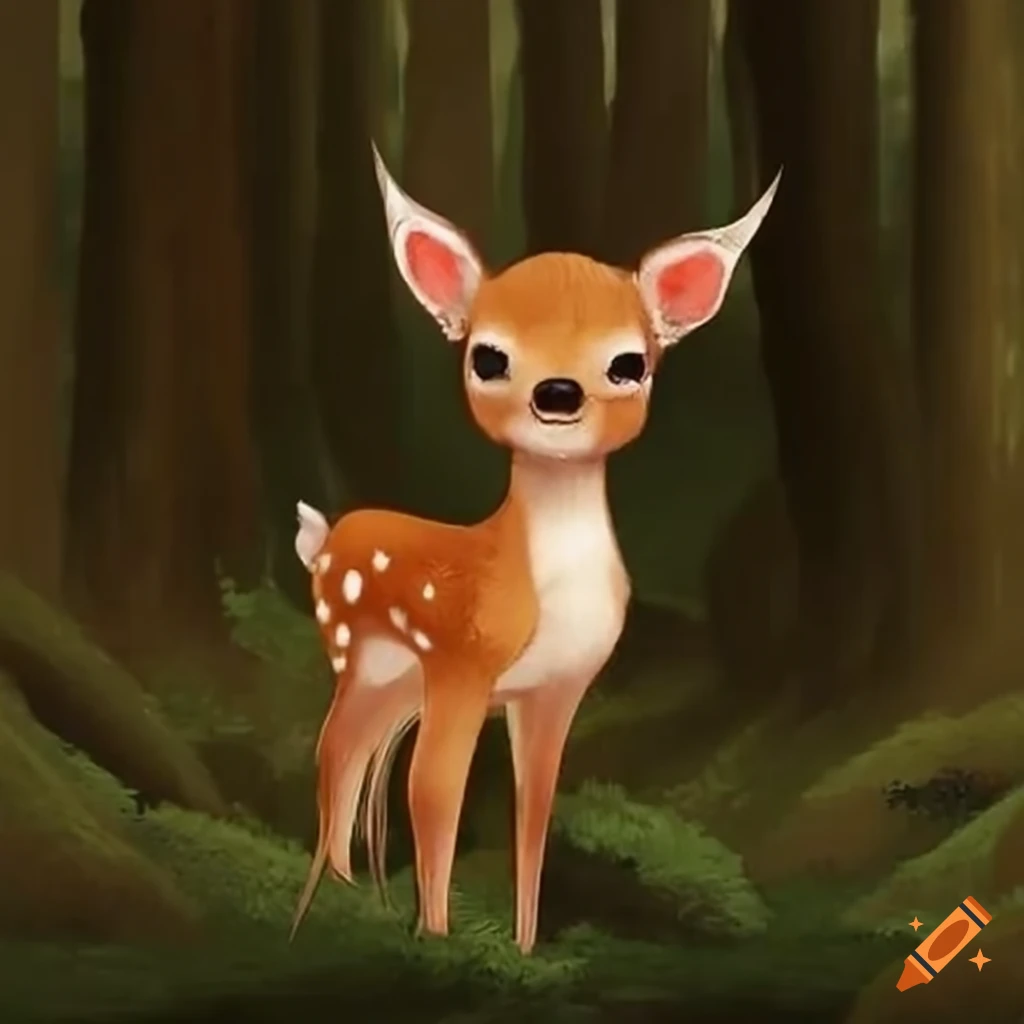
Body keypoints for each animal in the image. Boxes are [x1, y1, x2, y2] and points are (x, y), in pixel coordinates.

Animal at [290, 145, 779, 954]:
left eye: (629, 362)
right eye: (488, 357)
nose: (557, 392)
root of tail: (323, 540)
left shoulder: (556, 688)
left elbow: (535, 810)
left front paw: (521, 944)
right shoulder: (463, 662)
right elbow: (436, 792)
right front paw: (441, 940)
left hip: (395, 678)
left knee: (358, 759)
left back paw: (352, 894)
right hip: (356, 650)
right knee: (336, 753)